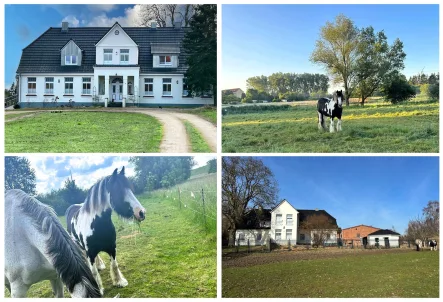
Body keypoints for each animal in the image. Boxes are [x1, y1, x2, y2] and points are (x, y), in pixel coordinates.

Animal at [65, 166, 146, 294]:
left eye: (130, 189)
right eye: (118, 191)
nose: (141, 212)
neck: (98, 225)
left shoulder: (112, 247)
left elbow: (114, 265)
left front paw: (119, 282)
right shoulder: (90, 252)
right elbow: (93, 272)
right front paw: (98, 289)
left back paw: (100, 265)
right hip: (80, 246)